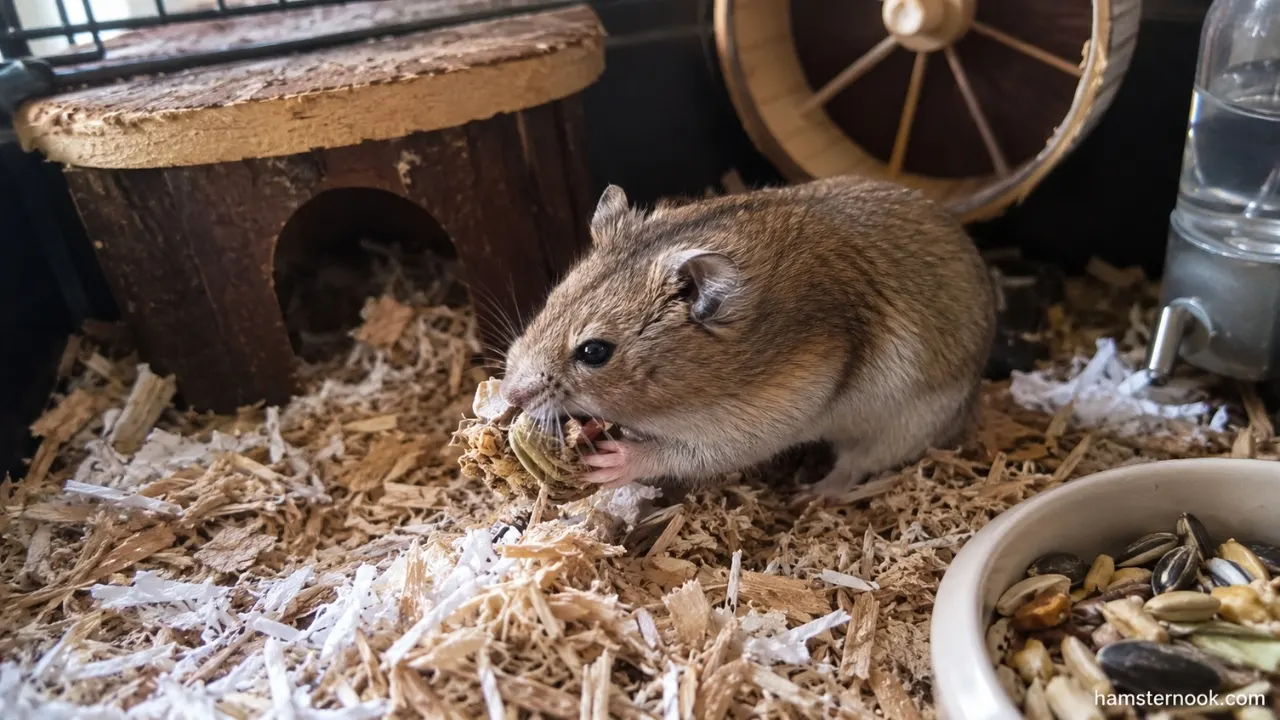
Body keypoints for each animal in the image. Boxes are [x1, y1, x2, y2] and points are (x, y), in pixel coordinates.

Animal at [499, 175, 997, 499]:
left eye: (594, 351)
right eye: (552, 299)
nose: (509, 395)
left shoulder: (759, 420)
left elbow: (683, 454)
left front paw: (610, 462)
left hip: (902, 427)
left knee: (855, 466)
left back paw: (809, 495)